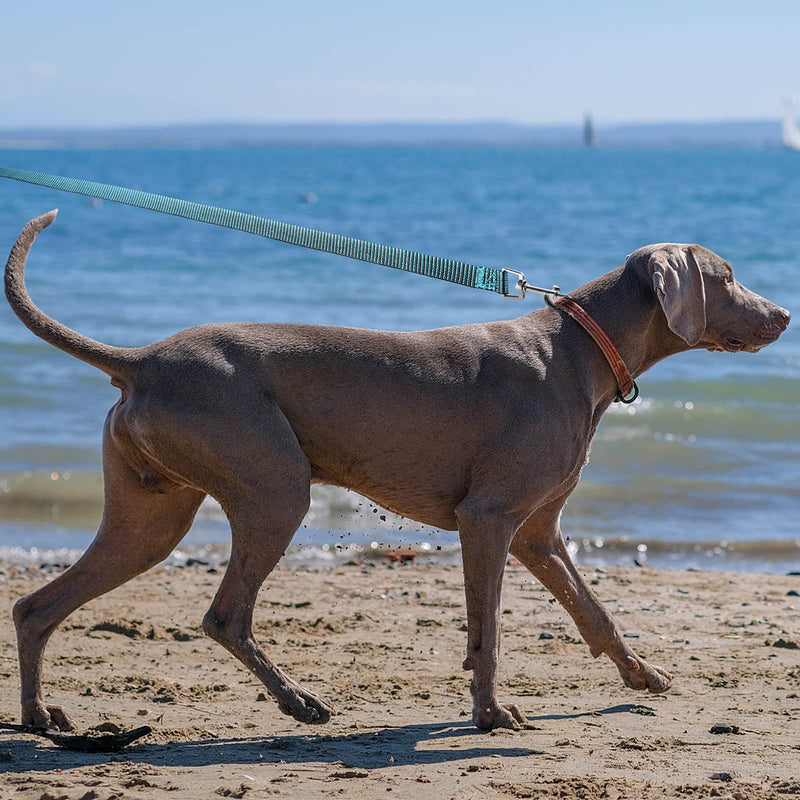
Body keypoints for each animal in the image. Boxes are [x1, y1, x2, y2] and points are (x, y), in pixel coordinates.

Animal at [4, 211, 788, 732]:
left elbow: (592, 609)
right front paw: (491, 712)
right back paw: (298, 701)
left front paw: (641, 674)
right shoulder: (488, 519)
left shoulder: (538, 529)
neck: (580, 350)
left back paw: (42, 715)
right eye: (726, 276)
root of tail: (141, 361)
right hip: (275, 487)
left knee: (36, 605)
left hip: (151, 516)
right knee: (226, 614)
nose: (783, 314)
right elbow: (487, 629)